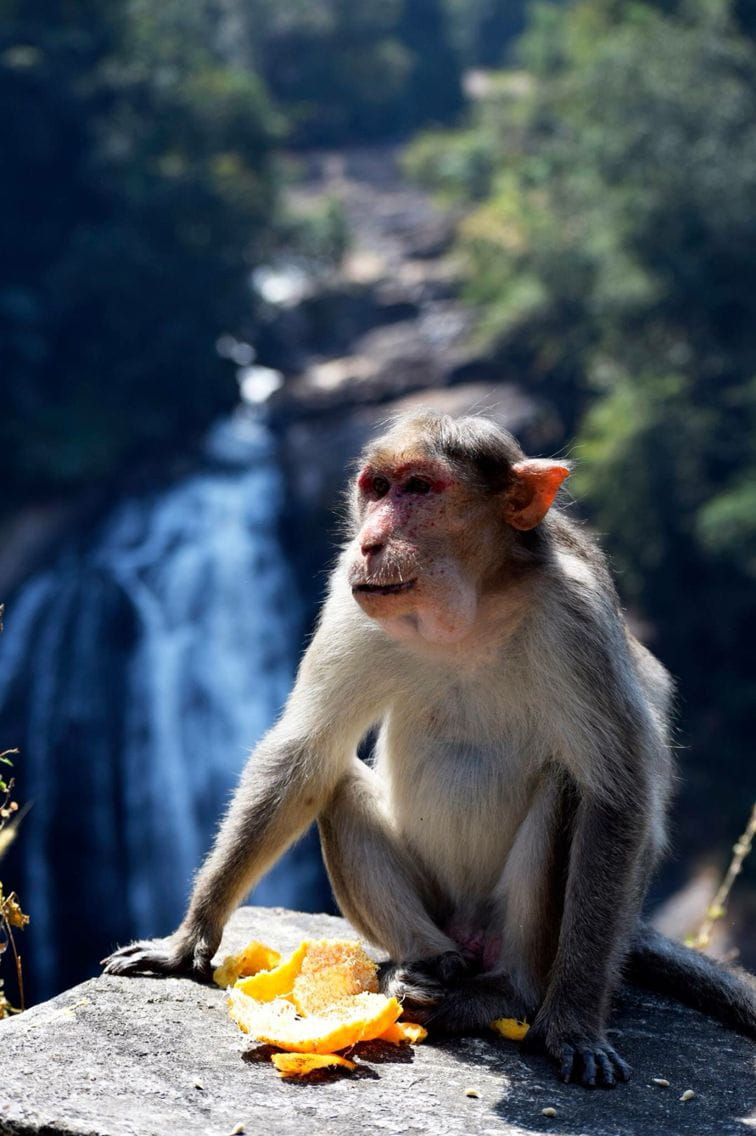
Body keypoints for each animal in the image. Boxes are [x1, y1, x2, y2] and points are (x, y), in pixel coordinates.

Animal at [103, 409, 756, 1087]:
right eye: (376, 488)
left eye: (419, 487)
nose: (370, 541)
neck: (466, 614)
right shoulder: (352, 602)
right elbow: (305, 751)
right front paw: (186, 943)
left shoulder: (578, 622)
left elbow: (615, 798)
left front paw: (574, 1023)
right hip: (438, 904)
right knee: (338, 783)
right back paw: (426, 967)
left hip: (515, 930)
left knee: (566, 790)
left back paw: (504, 994)